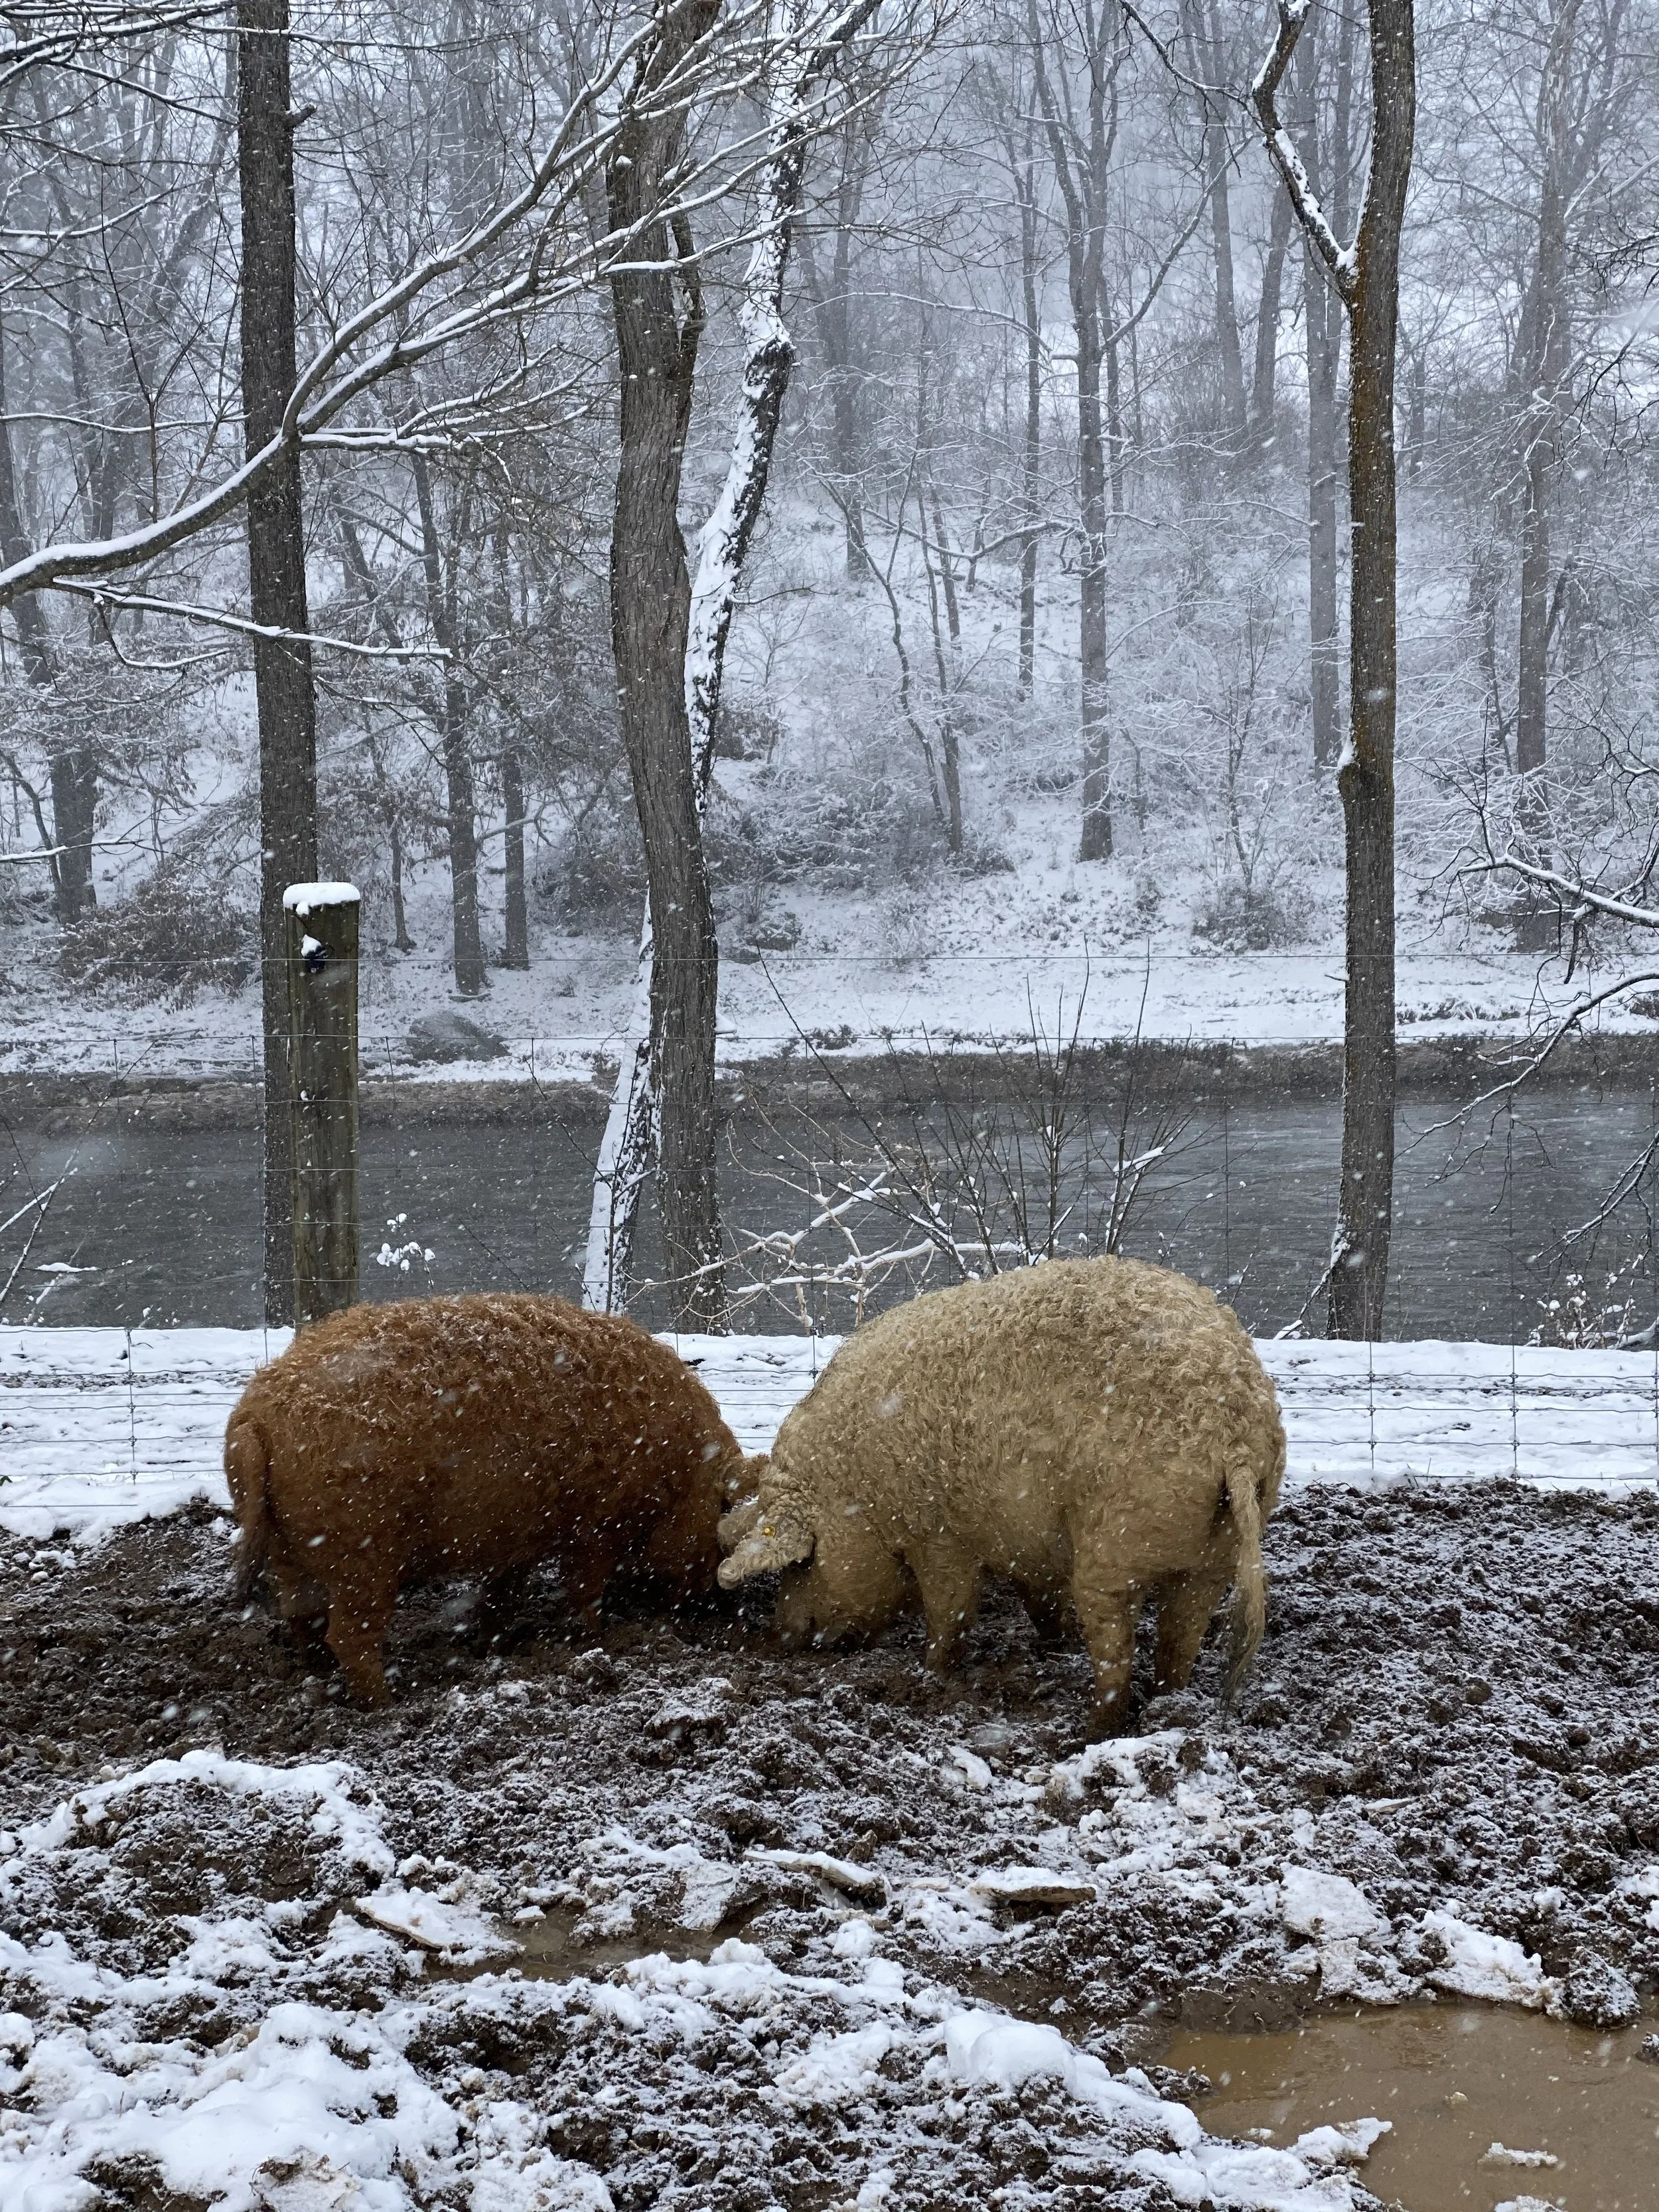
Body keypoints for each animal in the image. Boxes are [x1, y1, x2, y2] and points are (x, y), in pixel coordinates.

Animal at [225, 1292, 744, 1702]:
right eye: (722, 1511)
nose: (709, 1604)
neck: (676, 1467)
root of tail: (254, 1417)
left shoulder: (515, 1538)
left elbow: (501, 1595)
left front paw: (493, 1647)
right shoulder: (597, 1527)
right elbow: (583, 1590)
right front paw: (593, 1640)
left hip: (291, 1550)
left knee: (303, 1617)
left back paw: (319, 1680)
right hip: (363, 1550)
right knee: (348, 1635)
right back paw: (386, 1704)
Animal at [718, 1257, 1285, 1734]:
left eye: (803, 1563)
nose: (782, 1636)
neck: (859, 1488)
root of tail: (1233, 1430)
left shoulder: (940, 1535)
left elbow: (951, 1610)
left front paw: (931, 1673)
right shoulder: (1024, 1540)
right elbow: (1038, 1598)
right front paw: (1050, 1642)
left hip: (1113, 1547)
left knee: (1115, 1646)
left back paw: (1089, 1731)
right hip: (1217, 1555)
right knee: (1180, 1637)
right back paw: (1167, 1707)